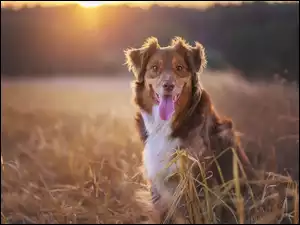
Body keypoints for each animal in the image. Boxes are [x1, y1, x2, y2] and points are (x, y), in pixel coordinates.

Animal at [123, 36, 253, 222]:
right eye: (154, 68)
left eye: (179, 68)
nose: (168, 85)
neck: (167, 126)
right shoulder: (158, 183)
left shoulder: (198, 180)